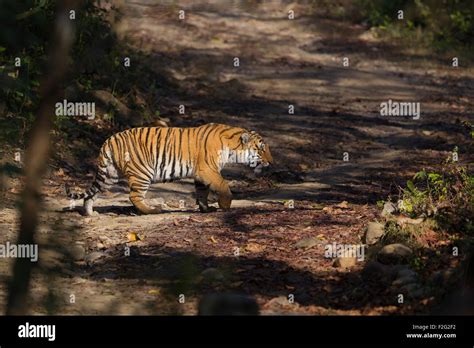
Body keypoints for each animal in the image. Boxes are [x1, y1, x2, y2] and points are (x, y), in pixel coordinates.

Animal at [66, 122, 274, 215]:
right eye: (261, 149)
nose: (271, 162)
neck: (231, 147)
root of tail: (109, 140)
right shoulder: (208, 170)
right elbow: (224, 186)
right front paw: (225, 206)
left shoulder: (201, 175)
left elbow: (202, 192)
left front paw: (206, 209)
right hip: (143, 172)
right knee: (134, 196)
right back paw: (152, 210)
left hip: (110, 174)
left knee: (92, 193)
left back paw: (90, 213)